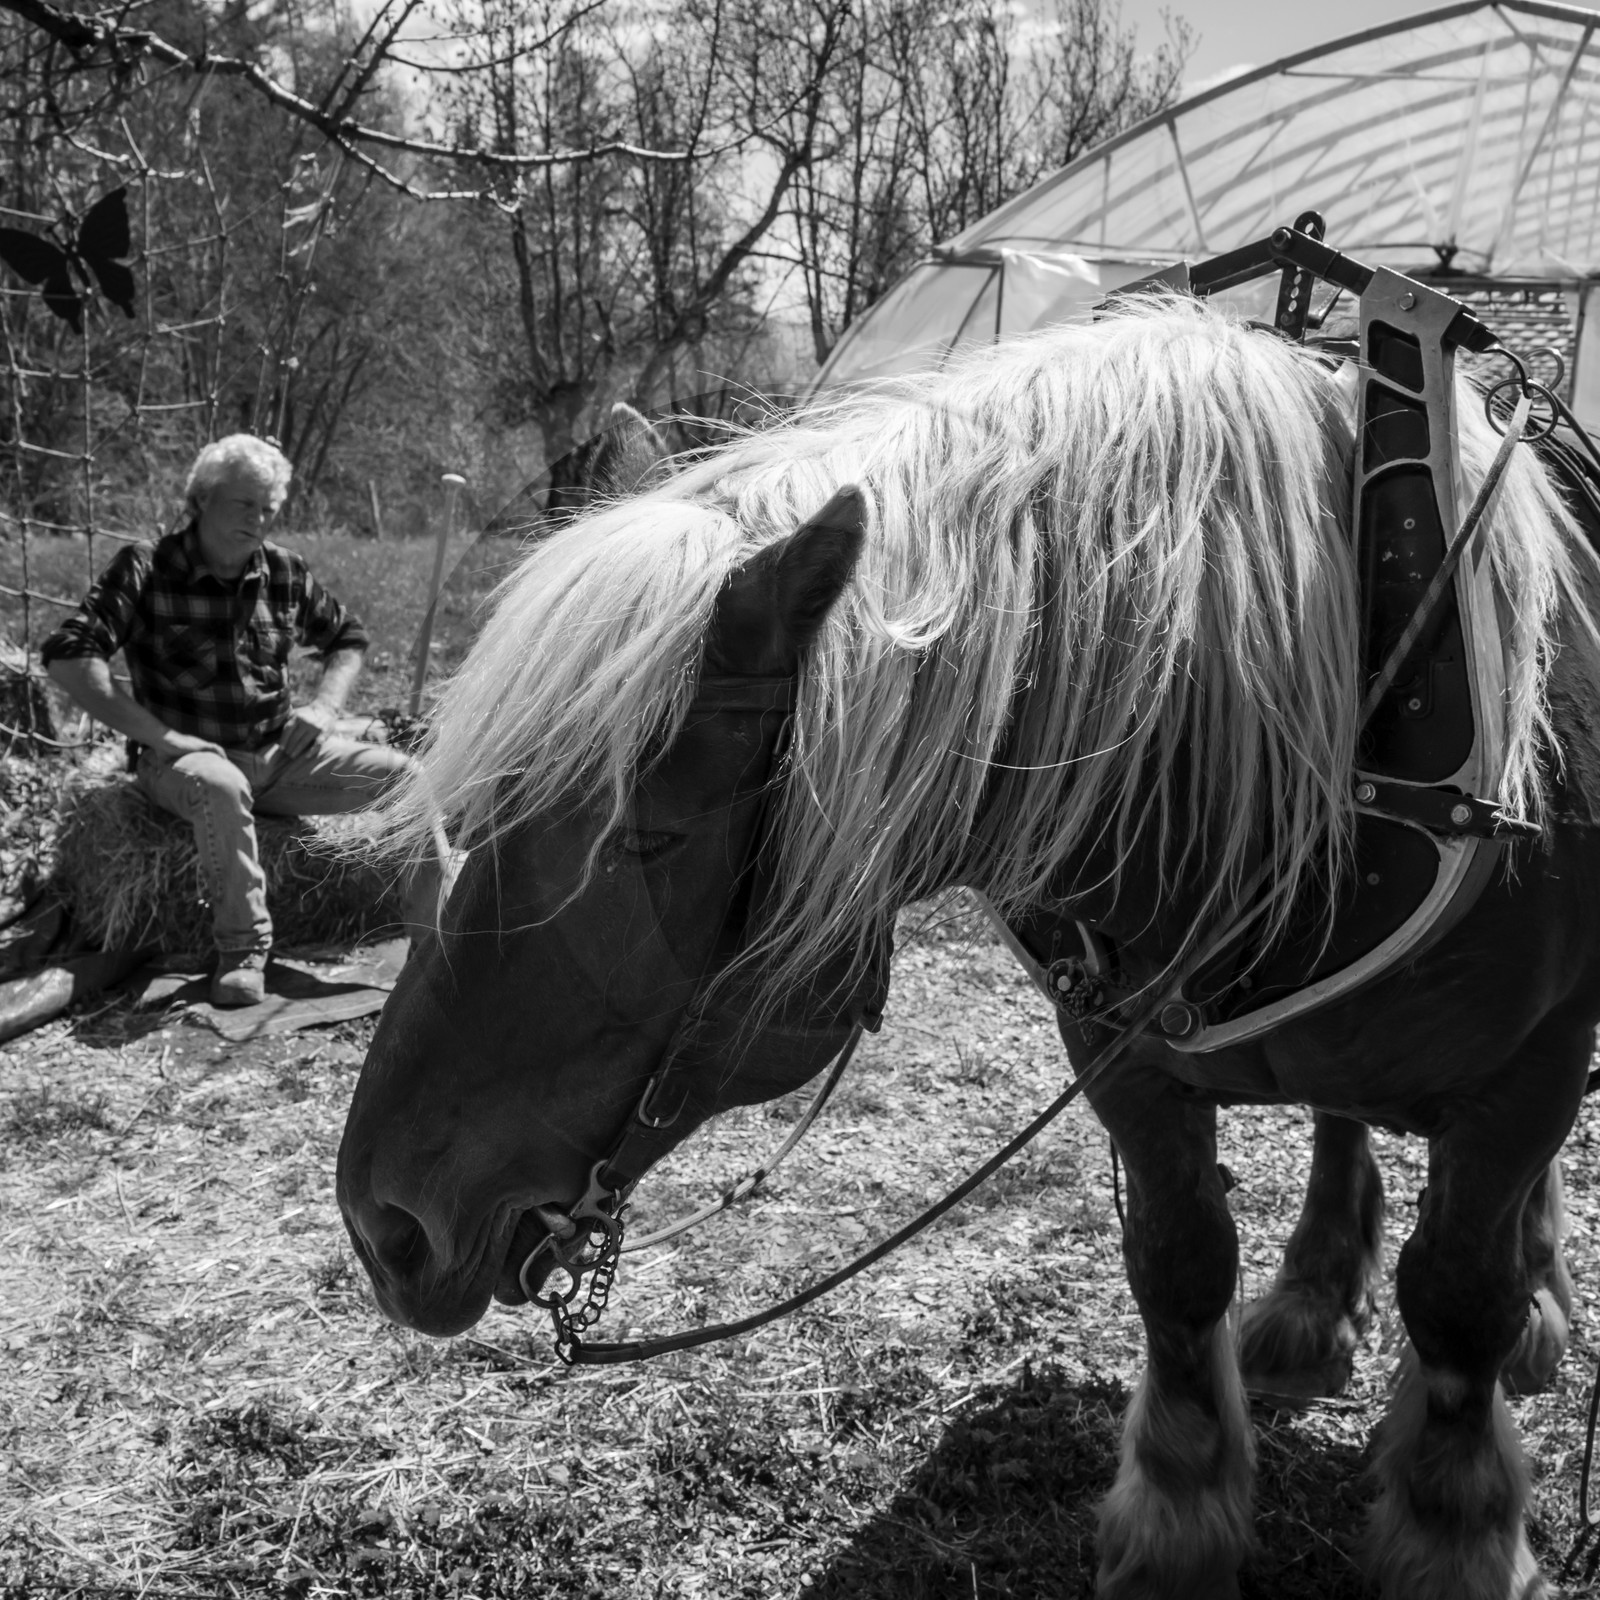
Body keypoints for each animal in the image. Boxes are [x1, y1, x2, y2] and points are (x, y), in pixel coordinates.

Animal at [337, 295, 1600, 1600]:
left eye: (651, 835)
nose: (385, 1224)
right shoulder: (1121, 1058)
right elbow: (1178, 1262)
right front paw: (1178, 1516)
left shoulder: (1526, 1071)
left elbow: (1457, 1296)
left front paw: (1455, 1533)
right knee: (1340, 1124)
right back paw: (1311, 1296)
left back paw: (1537, 1304)